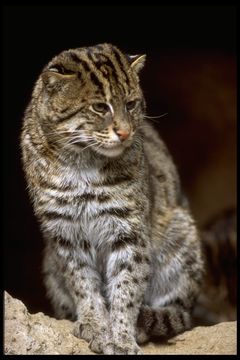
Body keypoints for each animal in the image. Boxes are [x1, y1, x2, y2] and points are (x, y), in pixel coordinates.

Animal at [20, 43, 203, 354]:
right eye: (99, 107)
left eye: (130, 104)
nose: (125, 132)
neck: (80, 163)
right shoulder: (64, 232)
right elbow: (83, 284)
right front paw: (95, 326)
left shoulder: (128, 230)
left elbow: (126, 287)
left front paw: (122, 337)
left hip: (182, 233)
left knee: (179, 310)